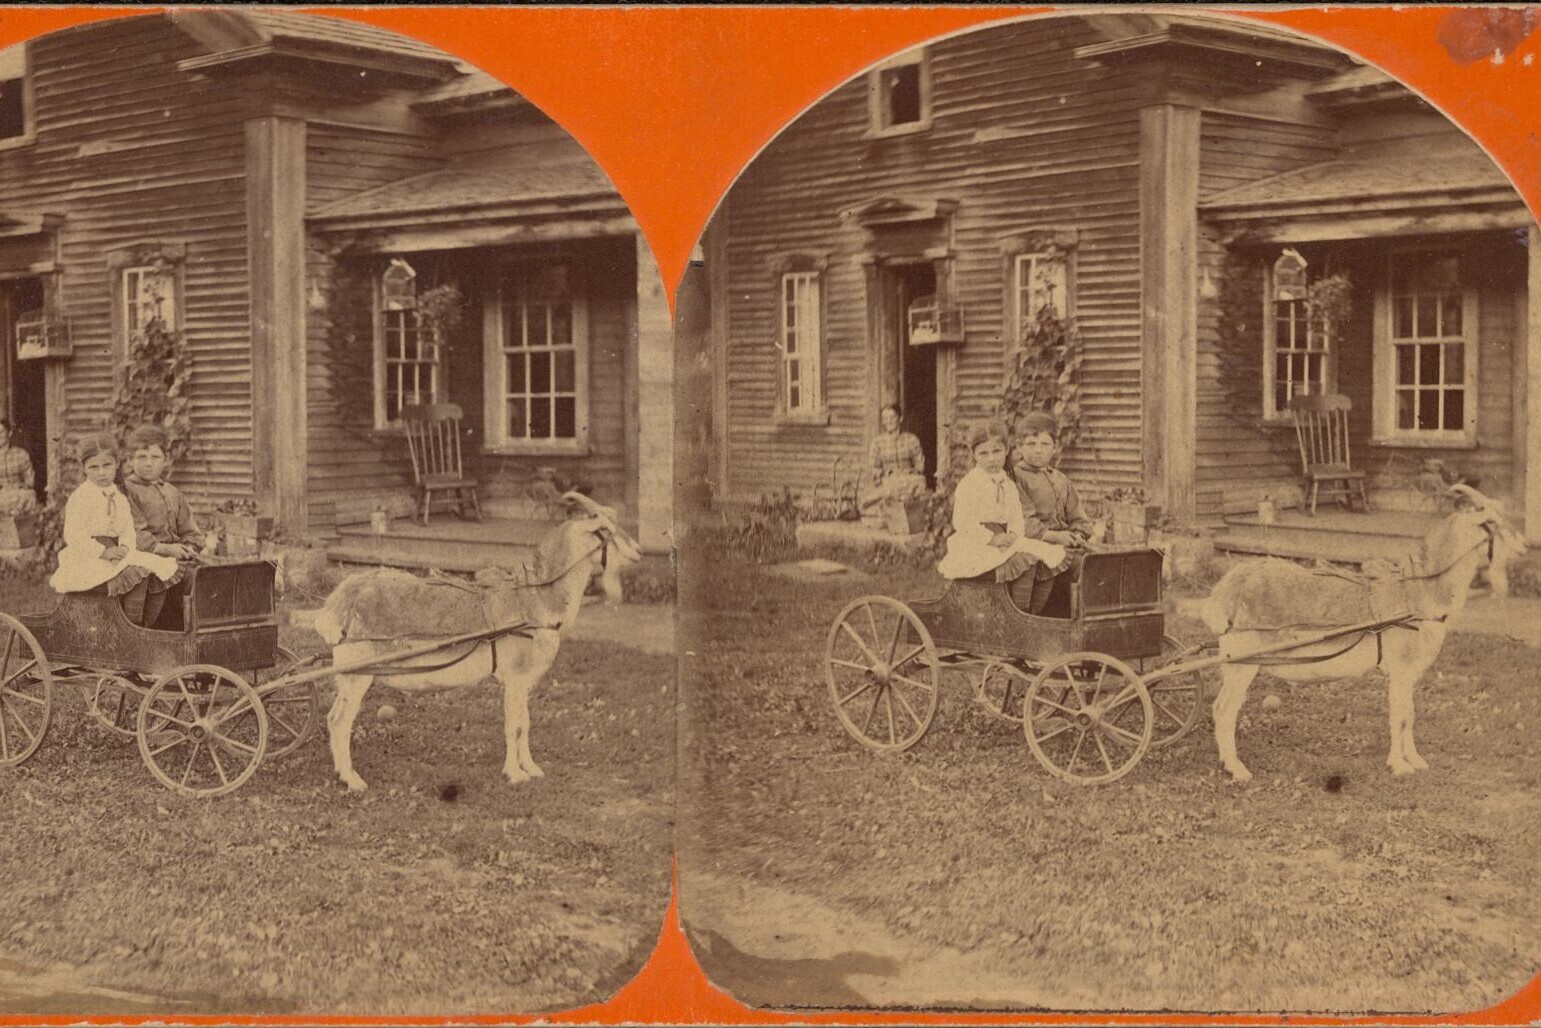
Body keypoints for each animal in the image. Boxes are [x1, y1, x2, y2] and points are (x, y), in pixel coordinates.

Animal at [315, 493, 641, 795]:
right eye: (604, 529)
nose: (638, 551)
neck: (534, 599)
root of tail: (345, 594)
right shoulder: (515, 678)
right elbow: (514, 725)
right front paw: (515, 774)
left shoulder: (523, 682)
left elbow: (526, 722)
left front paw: (531, 768)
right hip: (357, 673)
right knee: (339, 720)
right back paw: (352, 780)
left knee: (333, 718)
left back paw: (340, 772)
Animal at [1195, 487, 1510, 782]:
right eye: (1491, 522)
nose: (1518, 551)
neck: (1417, 592)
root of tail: (1228, 586)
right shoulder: (1400, 671)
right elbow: (1399, 717)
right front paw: (1398, 766)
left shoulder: (1408, 674)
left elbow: (1409, 715)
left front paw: (1416, 760)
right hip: (1241, 662)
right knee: (1223, 709)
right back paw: (1236, 769)